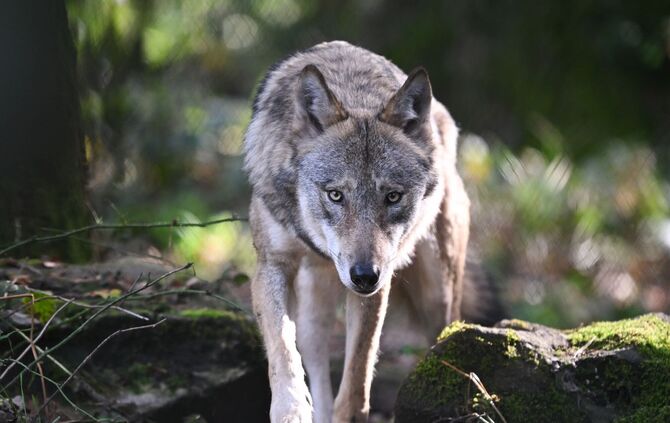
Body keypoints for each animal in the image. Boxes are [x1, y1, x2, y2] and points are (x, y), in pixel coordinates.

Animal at [243, 41, 471, 423]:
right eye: (336, 195)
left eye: (392, 196)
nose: (364, 275)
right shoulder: (271, 264)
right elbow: (282, 348)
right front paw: (291, 409)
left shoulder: (378, 287)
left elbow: (355, 383)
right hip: (315, 299)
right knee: (313, 351)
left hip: (436, 292)